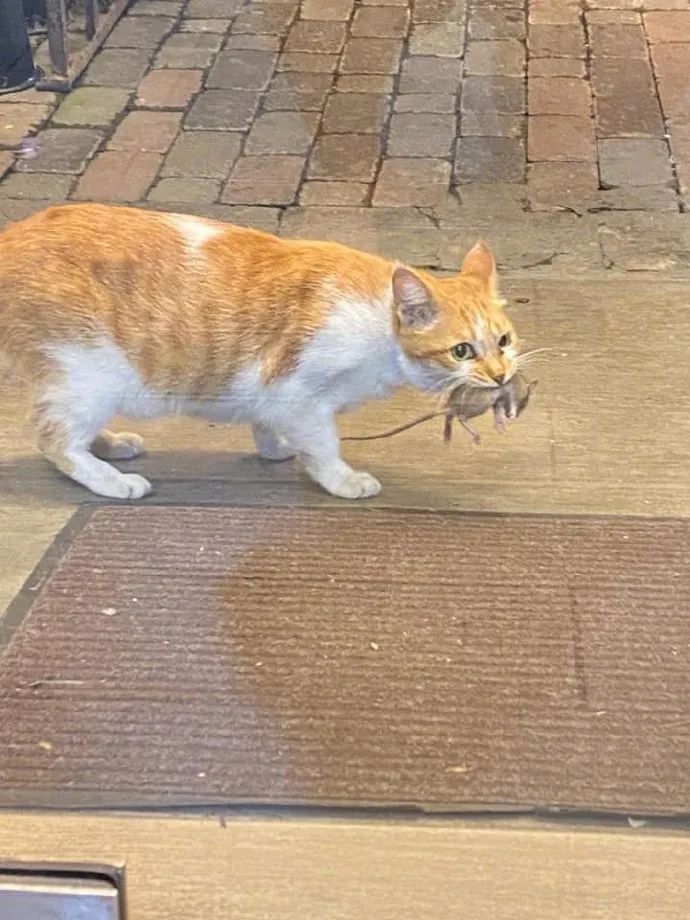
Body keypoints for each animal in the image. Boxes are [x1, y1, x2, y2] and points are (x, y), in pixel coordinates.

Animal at [0, 204, 516, 500]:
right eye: (462, 351)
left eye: (505, 342)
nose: (499, 376)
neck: (377, 323)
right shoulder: (299, 392)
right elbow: (323, 444)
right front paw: (341, 479)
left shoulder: (270, 392)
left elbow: (266, 424)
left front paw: (276, 448)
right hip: (87, 375)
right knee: (54, 440)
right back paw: (111, 480)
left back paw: (110, 444)